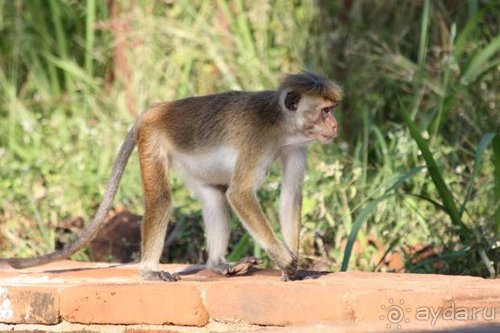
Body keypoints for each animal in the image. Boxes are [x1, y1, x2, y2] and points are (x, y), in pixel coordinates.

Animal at [2, 72, 340, 280]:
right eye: (325, 111)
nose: (335, 125)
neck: (281, 124)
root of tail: (155, 109)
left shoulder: (297, 146)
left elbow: (289, 195)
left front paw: (294, 265)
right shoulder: (256, 140)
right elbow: (241, 194)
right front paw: (284, 259)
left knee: (214, 198)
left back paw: (217, 265)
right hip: (152, 138)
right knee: (161, 199)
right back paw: (149, 270)